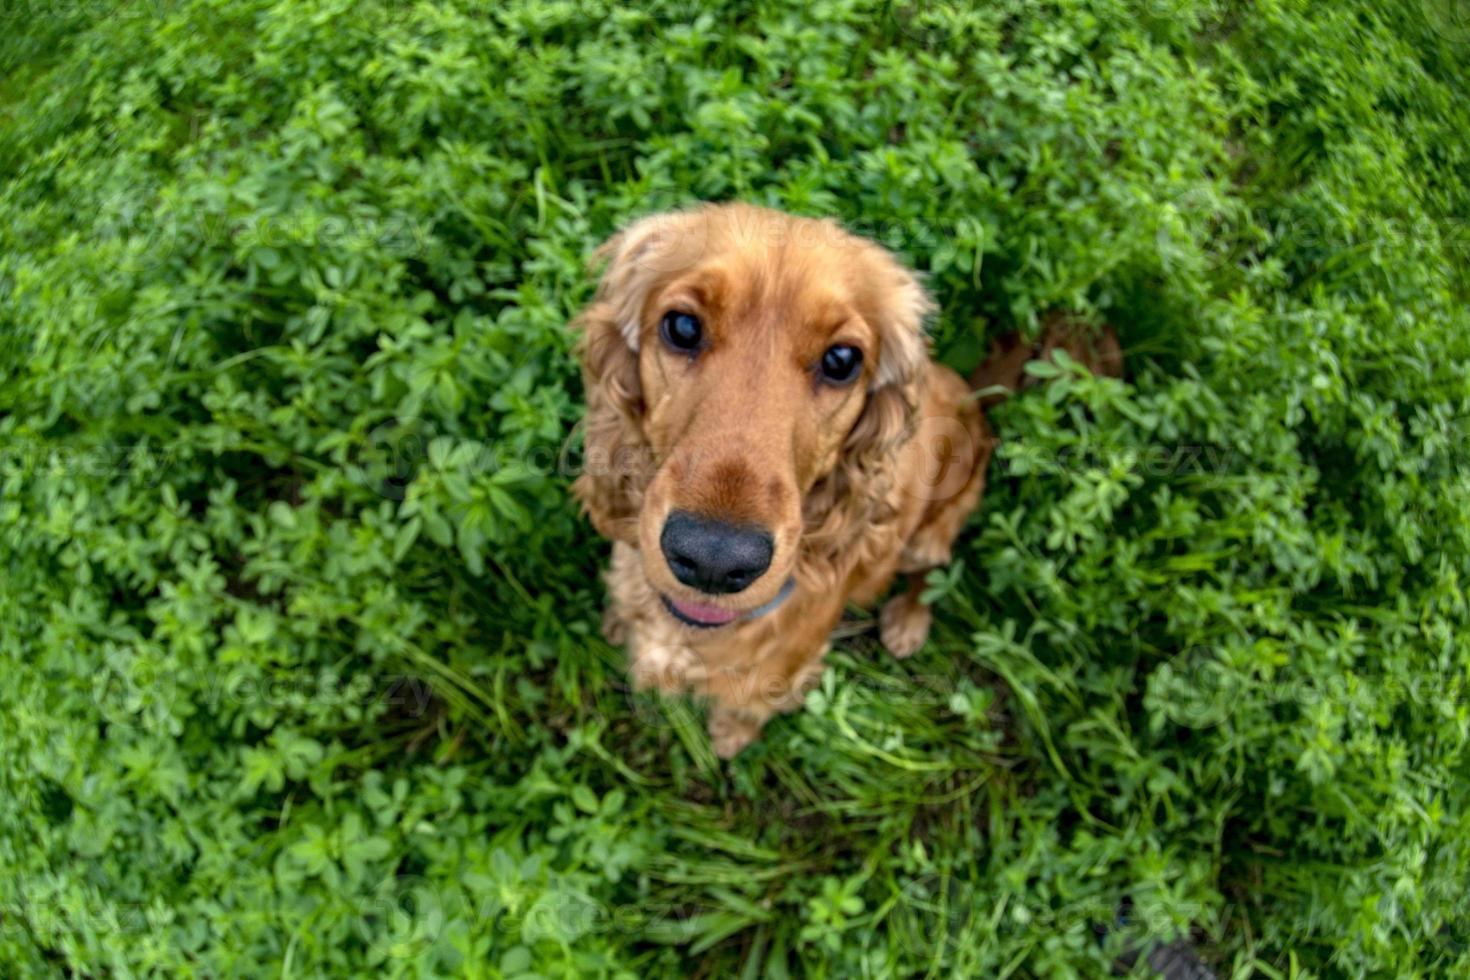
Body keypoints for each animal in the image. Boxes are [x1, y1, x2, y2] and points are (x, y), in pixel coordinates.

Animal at [567, 201, 1117, 758]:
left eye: (841, 360)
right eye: (681, 327)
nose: (713, 561)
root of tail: (977, 402)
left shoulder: (780, 673)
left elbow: (747, 707)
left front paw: (730, 738)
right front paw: (619, 619)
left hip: (930, 532)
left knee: (929, 572)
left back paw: (907, 623)